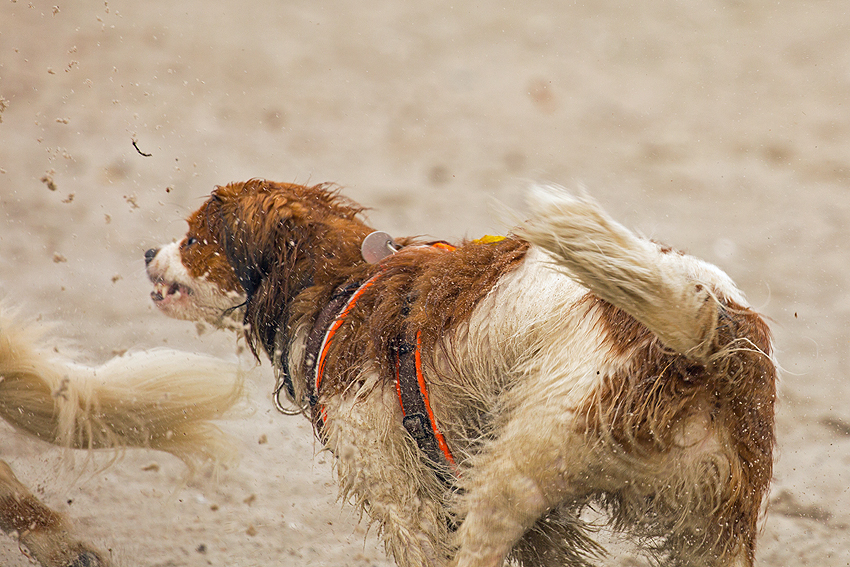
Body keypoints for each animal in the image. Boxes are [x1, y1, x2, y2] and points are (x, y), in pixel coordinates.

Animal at [147, 181, 776, 567]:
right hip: (713, 529)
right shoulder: (544, 531)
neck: (340, 285)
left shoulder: (399, 491)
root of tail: (704, 332)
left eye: (194, 238)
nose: (149, 251)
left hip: (512, 476)